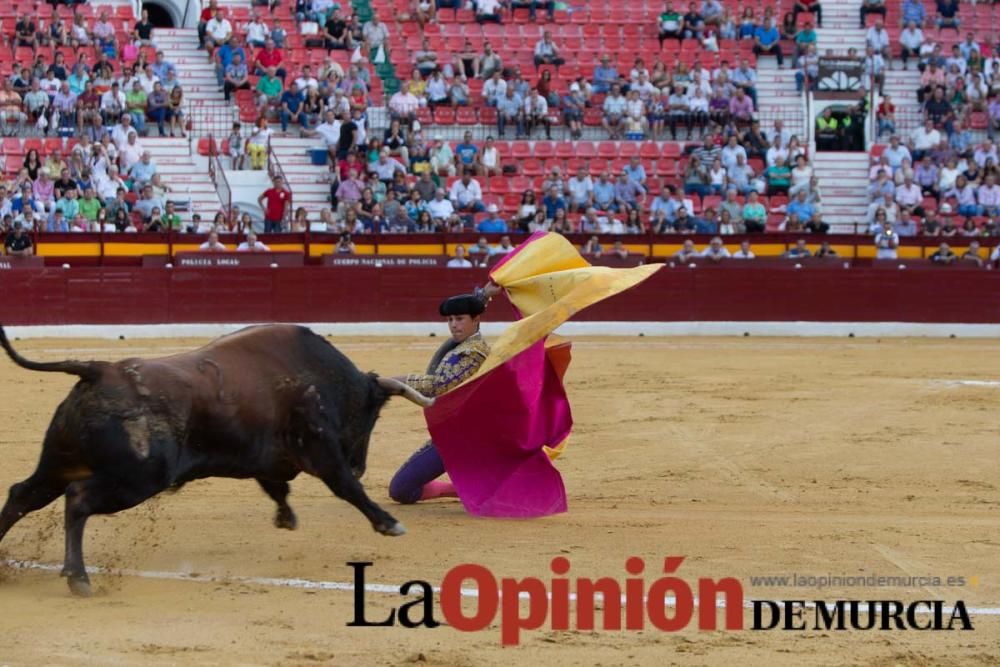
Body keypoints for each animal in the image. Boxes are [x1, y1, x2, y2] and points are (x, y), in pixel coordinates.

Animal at [0, 326, 434, 596]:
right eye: (373, 415)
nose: (361, 464)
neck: (325, 377)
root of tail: (98, 369)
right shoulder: (321, 447)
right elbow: (346, 487)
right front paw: (388, 523)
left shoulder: (267, 455)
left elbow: (278, 487)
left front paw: (285, 517)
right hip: (137, 478)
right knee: (77, 500)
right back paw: (78, 578)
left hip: (58, 464)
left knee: (23, 494)